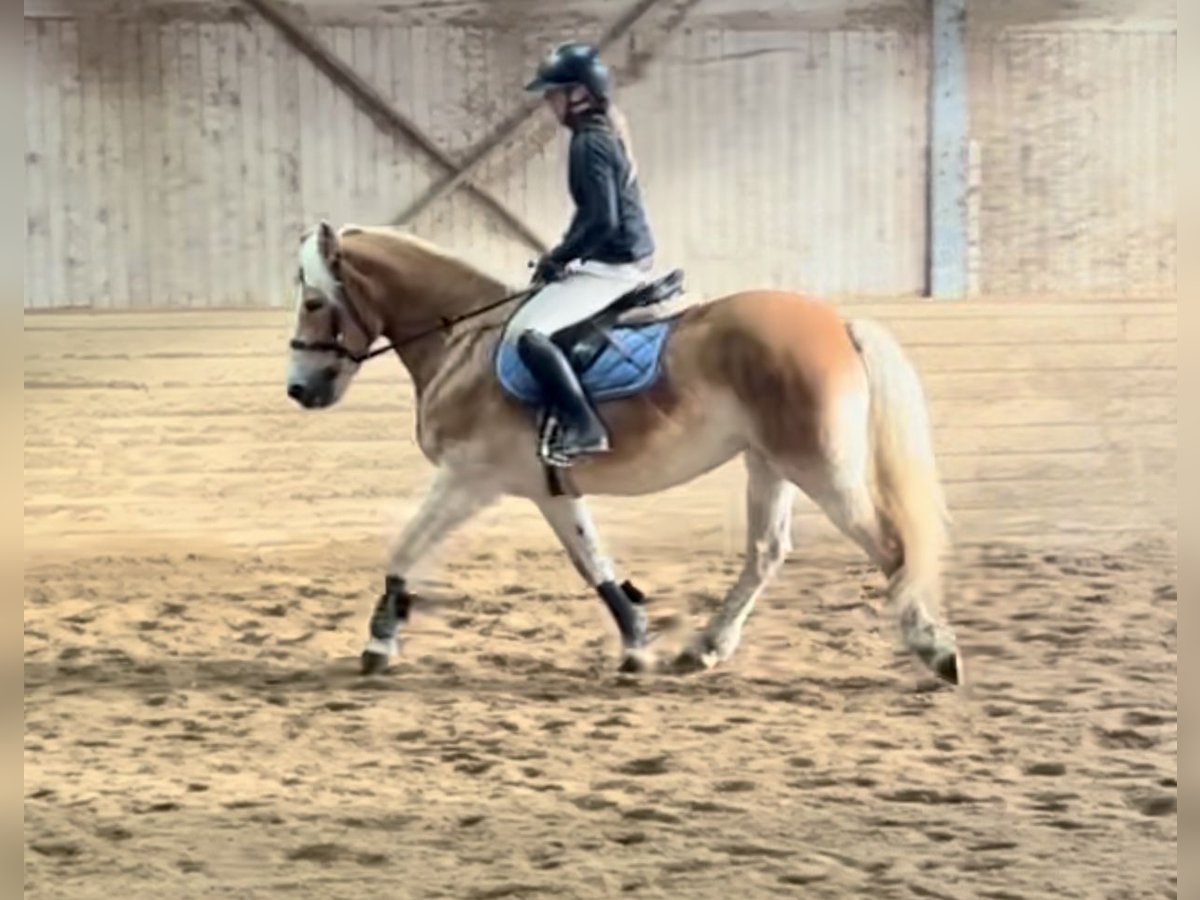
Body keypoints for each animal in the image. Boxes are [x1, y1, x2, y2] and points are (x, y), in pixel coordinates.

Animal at [285, 222, 960, 686]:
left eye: (314, 302)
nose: (299, 390)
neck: (462, 344)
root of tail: (838, 323)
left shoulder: (469, 479)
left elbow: (405, 547)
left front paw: (380, 641)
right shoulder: (548, 488)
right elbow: (594, 562)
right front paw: (638, 643)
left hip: (822, 468)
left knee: (892, 548)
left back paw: (935, 650)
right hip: (770, 463)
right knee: (767, 552)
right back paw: (705, 648)